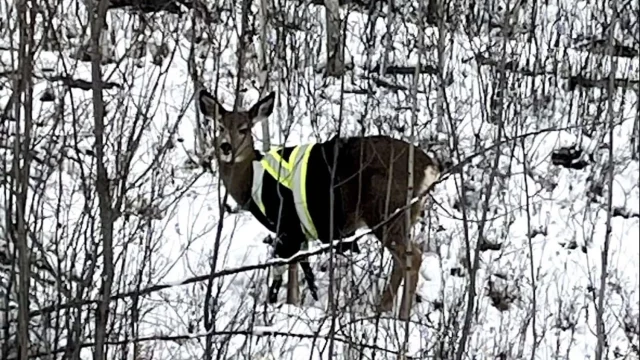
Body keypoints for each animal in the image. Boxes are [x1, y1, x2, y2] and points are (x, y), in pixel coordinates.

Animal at [198, 88, 448, 320]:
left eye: (244, 129)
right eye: (220, 127)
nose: (226, 147)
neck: (251, 180)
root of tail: (429, 168)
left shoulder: (286, 222)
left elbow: (288, 266)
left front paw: (287, 305)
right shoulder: (298, 230)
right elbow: (297, 266)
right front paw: (295, 304)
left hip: (387, 211)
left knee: (413, 257)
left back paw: (401, 316)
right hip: (402, 215)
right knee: (403, 260)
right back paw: (383, 309)